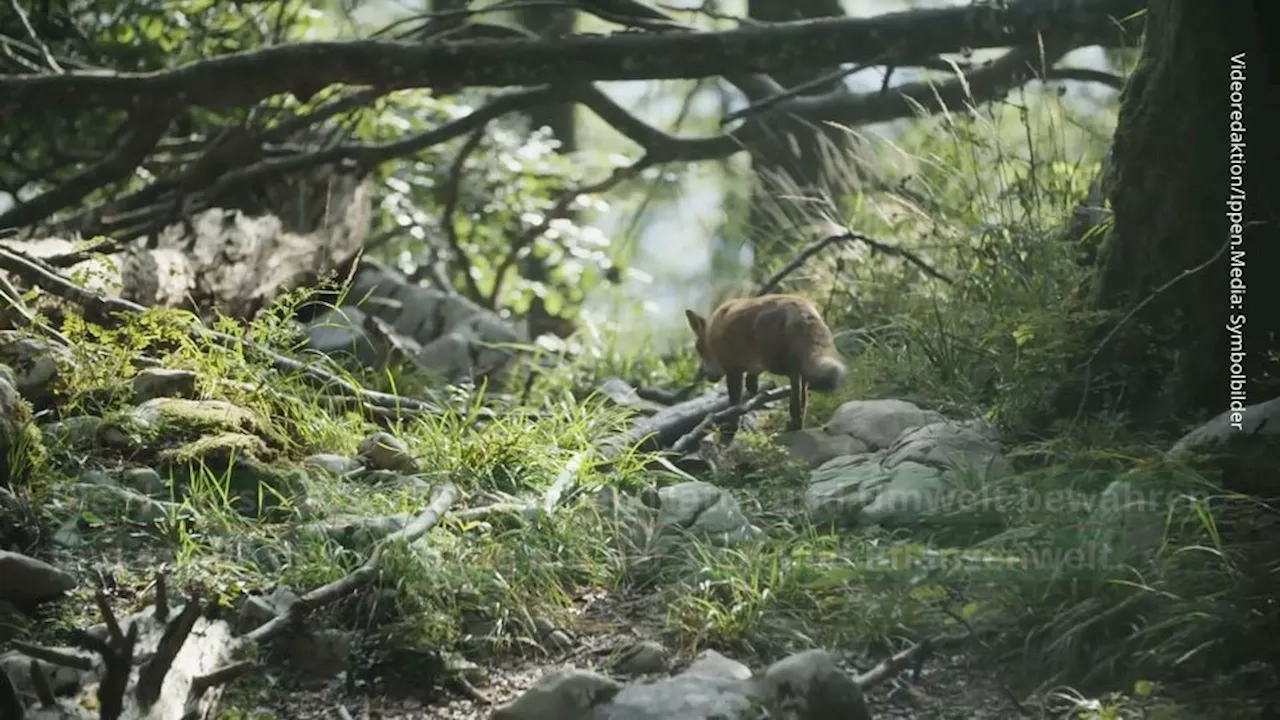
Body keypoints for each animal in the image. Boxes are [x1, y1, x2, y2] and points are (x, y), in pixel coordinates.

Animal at [686, 293, 844, 430]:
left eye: (699, 350)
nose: (708, 377)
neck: (712, 332)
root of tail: (799, 307)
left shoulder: (733, 369)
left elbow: (734, 402)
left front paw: (732, 425)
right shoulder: (752, 367)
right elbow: (751, 387)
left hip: (776, 364)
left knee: (797, 379)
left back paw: (794, 422)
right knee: (802, 391)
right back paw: (797, 423)